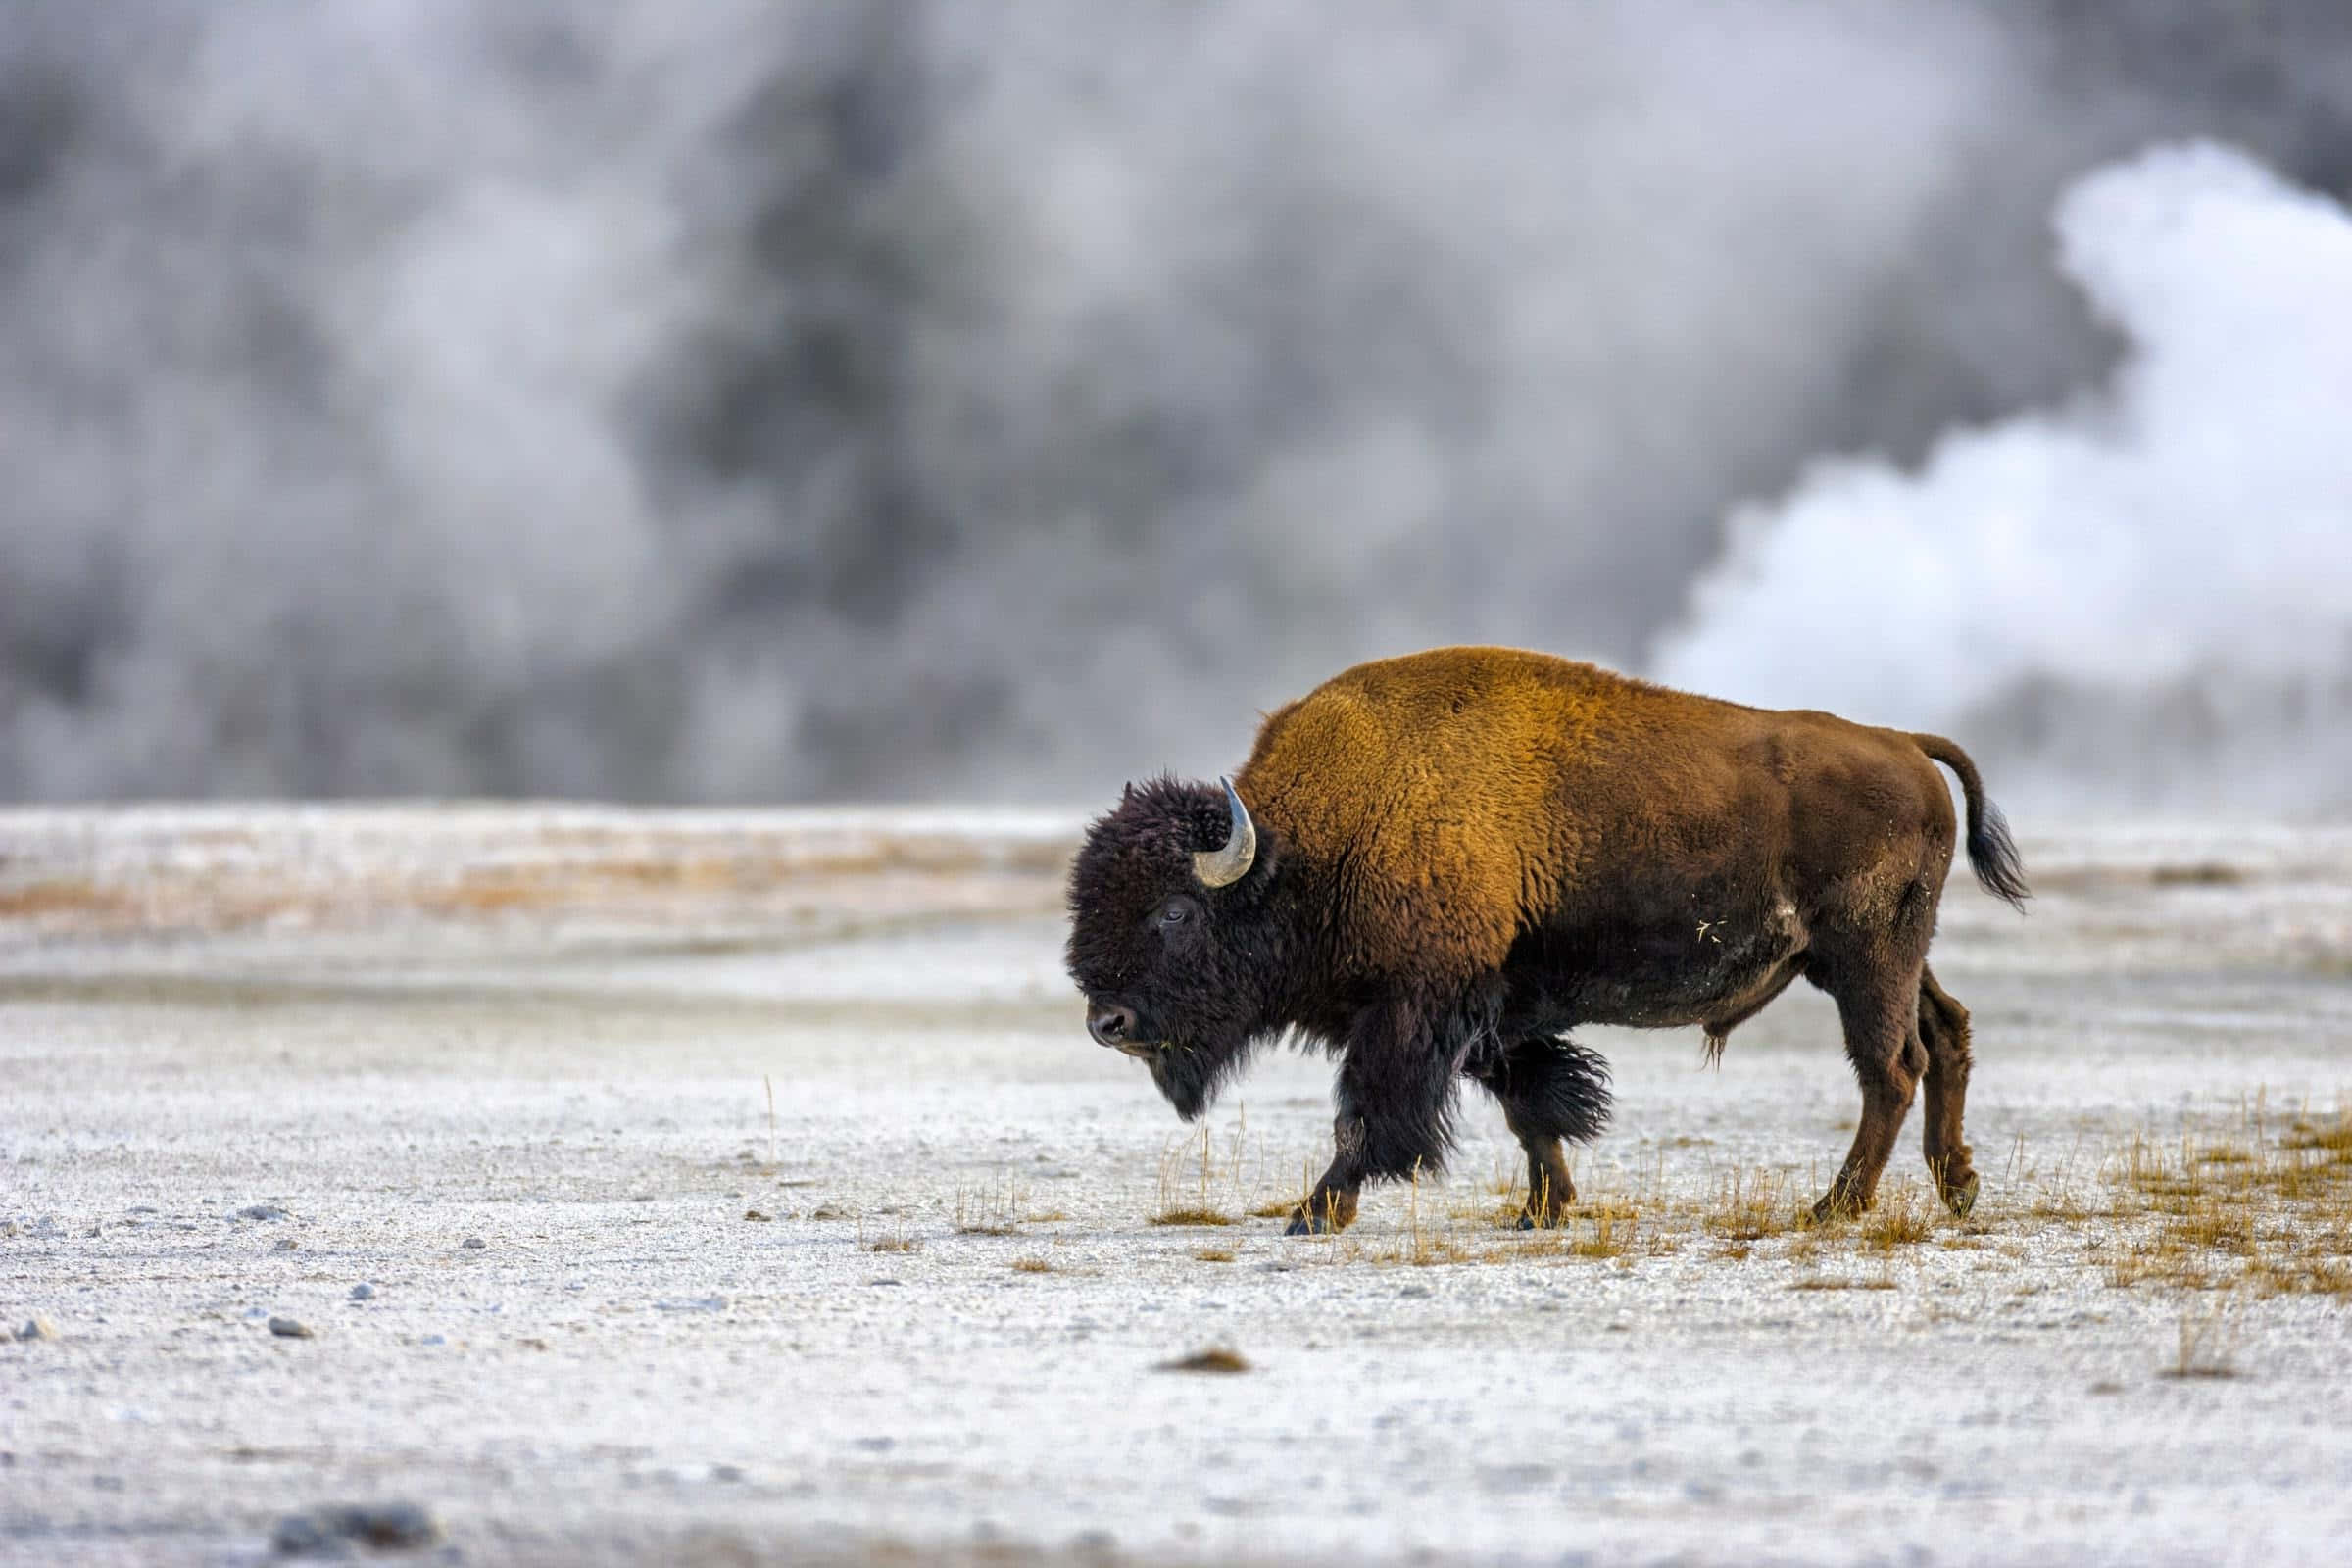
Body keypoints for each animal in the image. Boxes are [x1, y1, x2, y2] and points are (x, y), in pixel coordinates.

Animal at [1065, 646, 2028, 1233]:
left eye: (1174, 912)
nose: (1106, 1024)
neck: (1313, 845)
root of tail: (1904, 744)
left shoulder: (1416, 1011)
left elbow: (1368, 1118)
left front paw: (1313, 1211)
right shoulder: (1497, 1011)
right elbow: (1532, 1107)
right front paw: (1542, 1210)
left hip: (1866, 958)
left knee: (1891, 1067)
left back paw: (1835, 1207)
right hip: (1874, 959)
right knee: (1945, 1033)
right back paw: (1957, 1187)